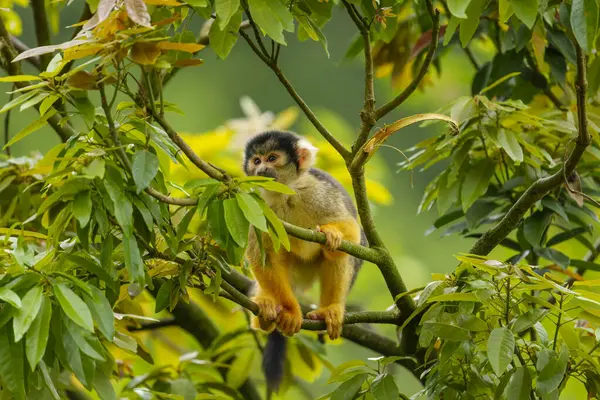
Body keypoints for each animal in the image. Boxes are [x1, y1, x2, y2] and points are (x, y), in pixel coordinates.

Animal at [243, 130, 366, 390]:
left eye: (272, 158)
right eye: (256, 161)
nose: (261, 169)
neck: (285, 192)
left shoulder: (319, 191)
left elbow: (352, 230)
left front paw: (333, 234)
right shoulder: (257, 205)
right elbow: (261, 255)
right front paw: (289, 311)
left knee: (340, 254)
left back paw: (330, 309)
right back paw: (266, 314)